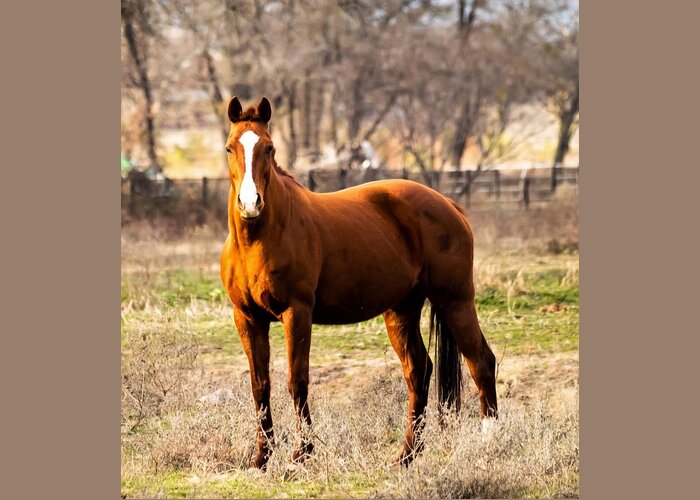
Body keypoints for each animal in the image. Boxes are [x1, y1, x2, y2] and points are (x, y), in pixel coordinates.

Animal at [220, 96, 498, 468]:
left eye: (269, 147)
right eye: (229, 148)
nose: (251, 204)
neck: (261, 238)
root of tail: (449, 205)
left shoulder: (297, 313)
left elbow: (297, 380)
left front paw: (301, 454)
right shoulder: (247, 318)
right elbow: (259, 384)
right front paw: (261, 457)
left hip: (455, 301)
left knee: (481, 362)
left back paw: (488, 443)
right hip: (401, 311)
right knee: (419, 371)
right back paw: (406, 455)